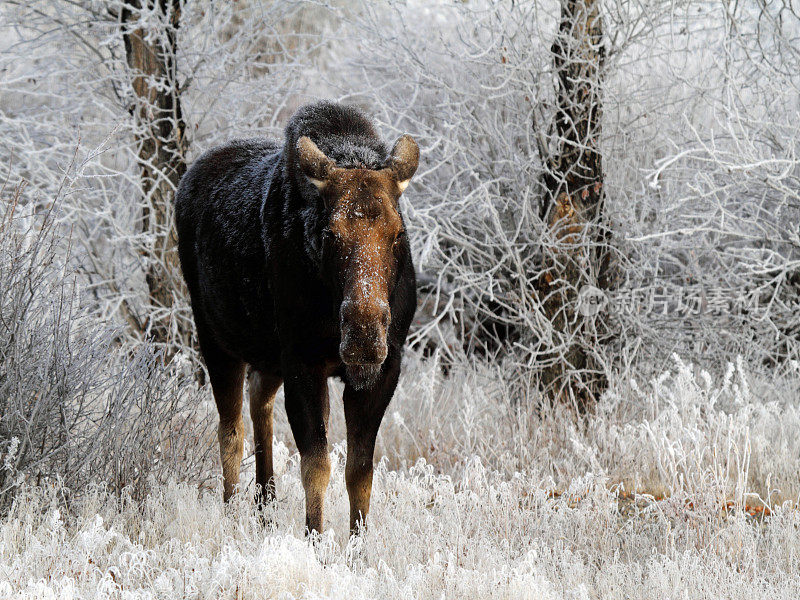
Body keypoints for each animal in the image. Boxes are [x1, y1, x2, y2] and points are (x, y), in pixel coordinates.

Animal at [174, 103, 418, 536]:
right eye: (331, 234)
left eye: (398, 234)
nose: (364, 335)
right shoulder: (303, 361)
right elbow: (316, 465)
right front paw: (314, 540)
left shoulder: (385, 368)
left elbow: (360, 472)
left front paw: (357, 545)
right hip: (214, 337)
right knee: (230, 431)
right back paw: (232, 515)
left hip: (269, 356)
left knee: (259, 400)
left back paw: (265, 505)